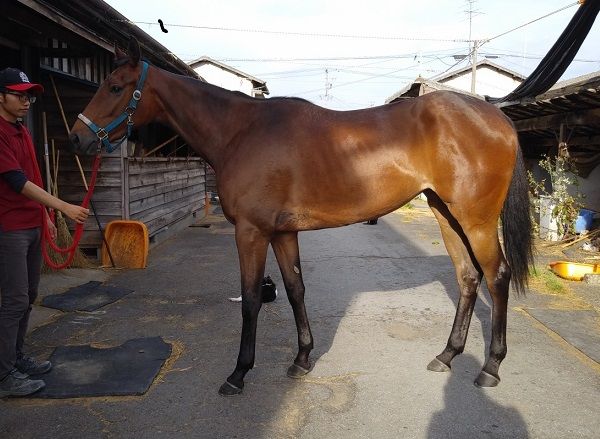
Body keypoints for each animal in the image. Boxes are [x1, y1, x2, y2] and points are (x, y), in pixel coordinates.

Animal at [70, 39, 536, 398]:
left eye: (114, 86)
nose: (77, 137)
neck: (242, 132)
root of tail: (496, 116)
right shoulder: (282, 232)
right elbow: (295, 290)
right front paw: (303, 358)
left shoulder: (251, 232)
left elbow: (251, 299)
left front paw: (238, 374)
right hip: (445, 213)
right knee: (467, 278)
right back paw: (446, 355)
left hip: (475, 220)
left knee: (496, 277)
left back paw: (490, 367)